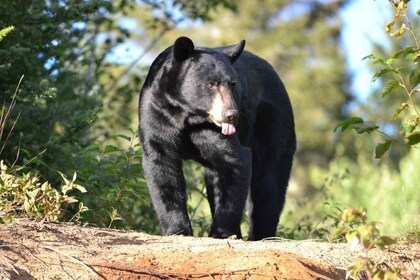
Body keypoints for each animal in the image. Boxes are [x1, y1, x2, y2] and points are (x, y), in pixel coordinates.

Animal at [139, 35, 296, 241]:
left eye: (233, 83)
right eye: (211, 84)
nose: (232, 115)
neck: (187, 115)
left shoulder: (216, 130)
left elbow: (235, 160)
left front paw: (221, 233)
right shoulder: (156, 114)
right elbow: (162, 168)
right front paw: (177, 230)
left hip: (273, 123)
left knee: (268, 182)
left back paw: (262, 236)